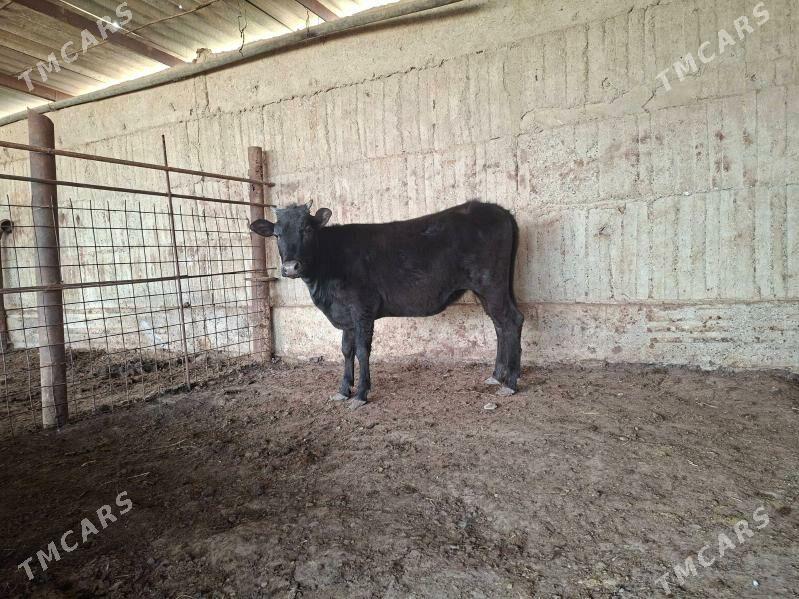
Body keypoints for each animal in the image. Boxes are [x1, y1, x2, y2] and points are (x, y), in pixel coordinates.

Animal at [250, 200, 523, 409]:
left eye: (306, 229)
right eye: (276, 234)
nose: (290, 267)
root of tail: (496, 209)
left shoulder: (362, 308)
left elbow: (362, 351)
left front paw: (360, 394)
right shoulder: (346, 315)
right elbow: (346, 350)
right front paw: (343, 389)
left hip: (491, 283)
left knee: (512, 321)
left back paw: (510, 383)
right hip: (485, 290)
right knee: (499, 325)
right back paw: (497, 376)